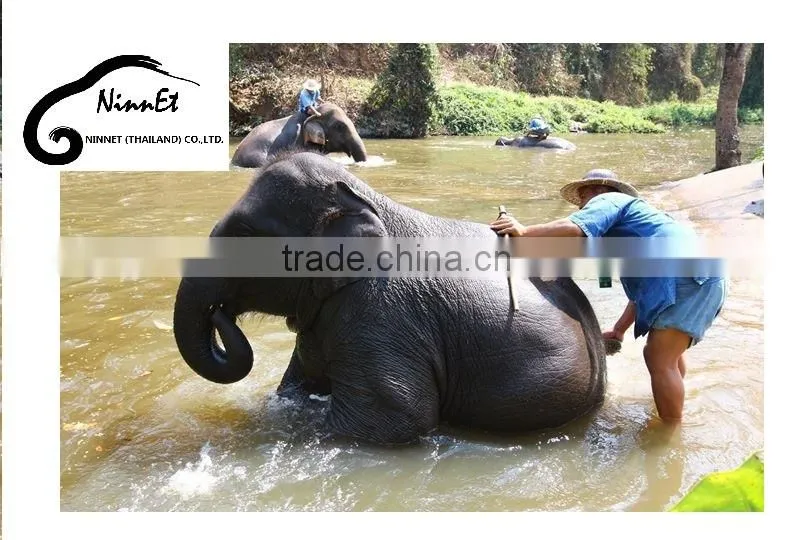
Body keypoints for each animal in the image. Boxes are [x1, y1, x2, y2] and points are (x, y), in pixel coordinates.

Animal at [173, 150, 607, 445]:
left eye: (245, 236)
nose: (220, 313)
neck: (369, 200)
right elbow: (294, 388)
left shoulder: (381, 316)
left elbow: (392, 419)